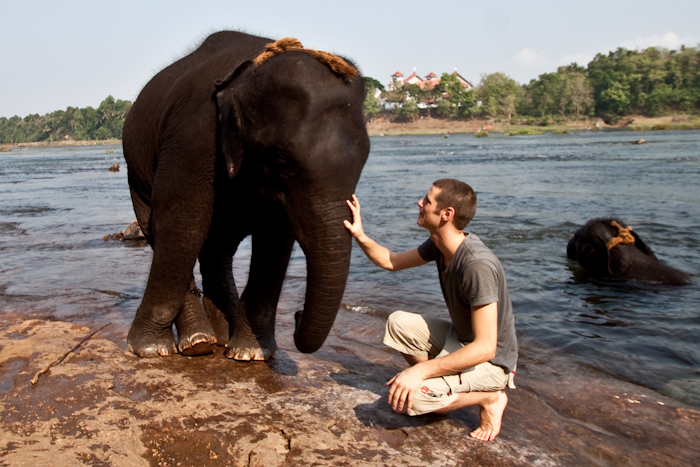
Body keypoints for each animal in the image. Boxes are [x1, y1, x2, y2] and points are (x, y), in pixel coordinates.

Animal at [122, 33, 370, 360]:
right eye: (283, 164)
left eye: (364, 162)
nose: (297, 316)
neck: (244, 76)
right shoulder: (192, 137)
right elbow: (183, 224)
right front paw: (149, 349)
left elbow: (275, 239)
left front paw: (250, 353)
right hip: (136, 175)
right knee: (161, 229)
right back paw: (198, 343)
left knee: (219, 245)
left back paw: (220, 337)